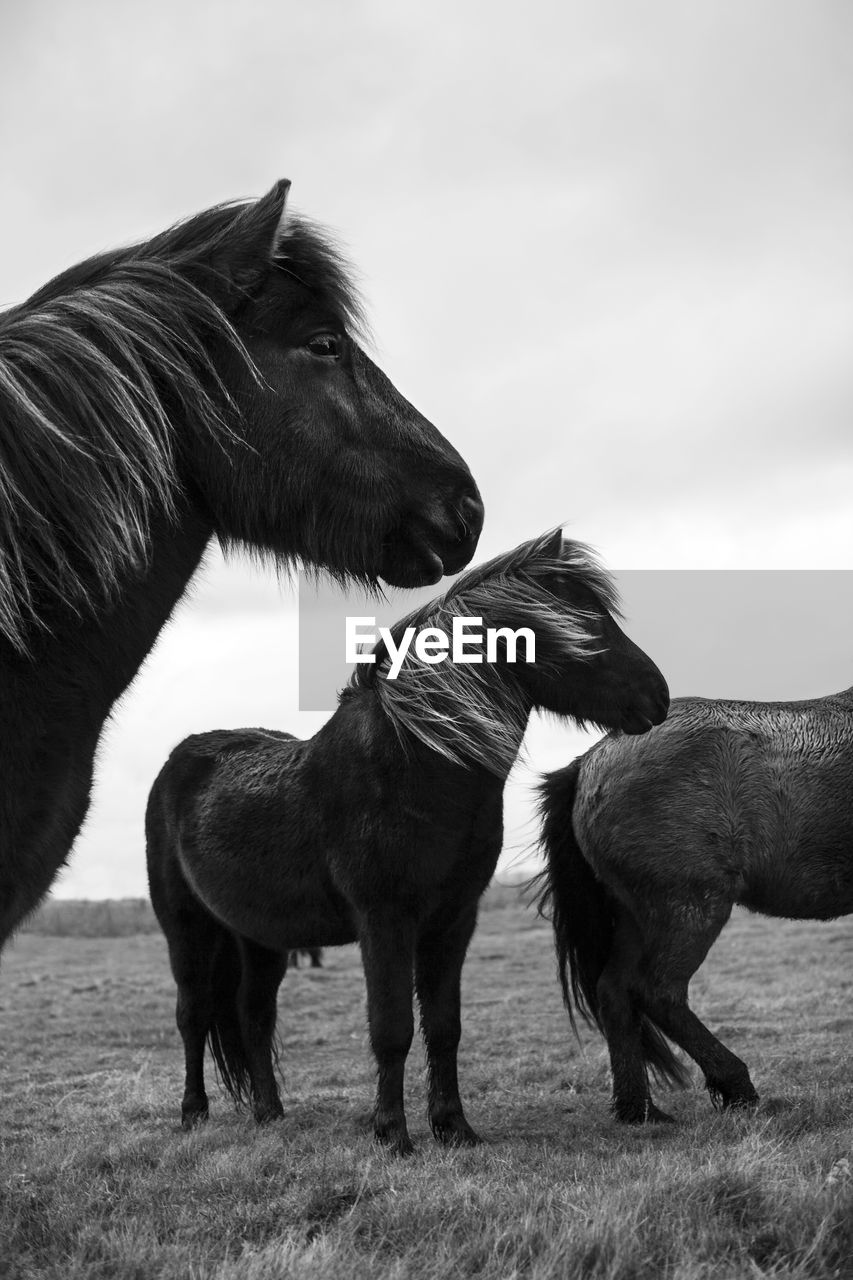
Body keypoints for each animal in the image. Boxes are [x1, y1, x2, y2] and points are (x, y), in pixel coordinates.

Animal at [144, 527, 666, 1152]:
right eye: (586, 623)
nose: (658, 697)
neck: (415, 765)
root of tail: (180, 760)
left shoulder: (453, 920)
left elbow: (443, 1026)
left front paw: (453, 1127)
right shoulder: (384, 921)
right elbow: (392, 1028)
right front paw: (393, 1134)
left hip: (259, 936)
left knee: (253, 1016)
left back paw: (269, 1113)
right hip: (187, 929)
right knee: (192, 1014)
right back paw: (192, 1114)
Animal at [535, 691, 850, 1121]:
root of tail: (589, 761)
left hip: (637, 918)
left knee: (615, 992)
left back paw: (639, 1110)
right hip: (690, 910)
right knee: (657, 992)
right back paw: (736, 1086)